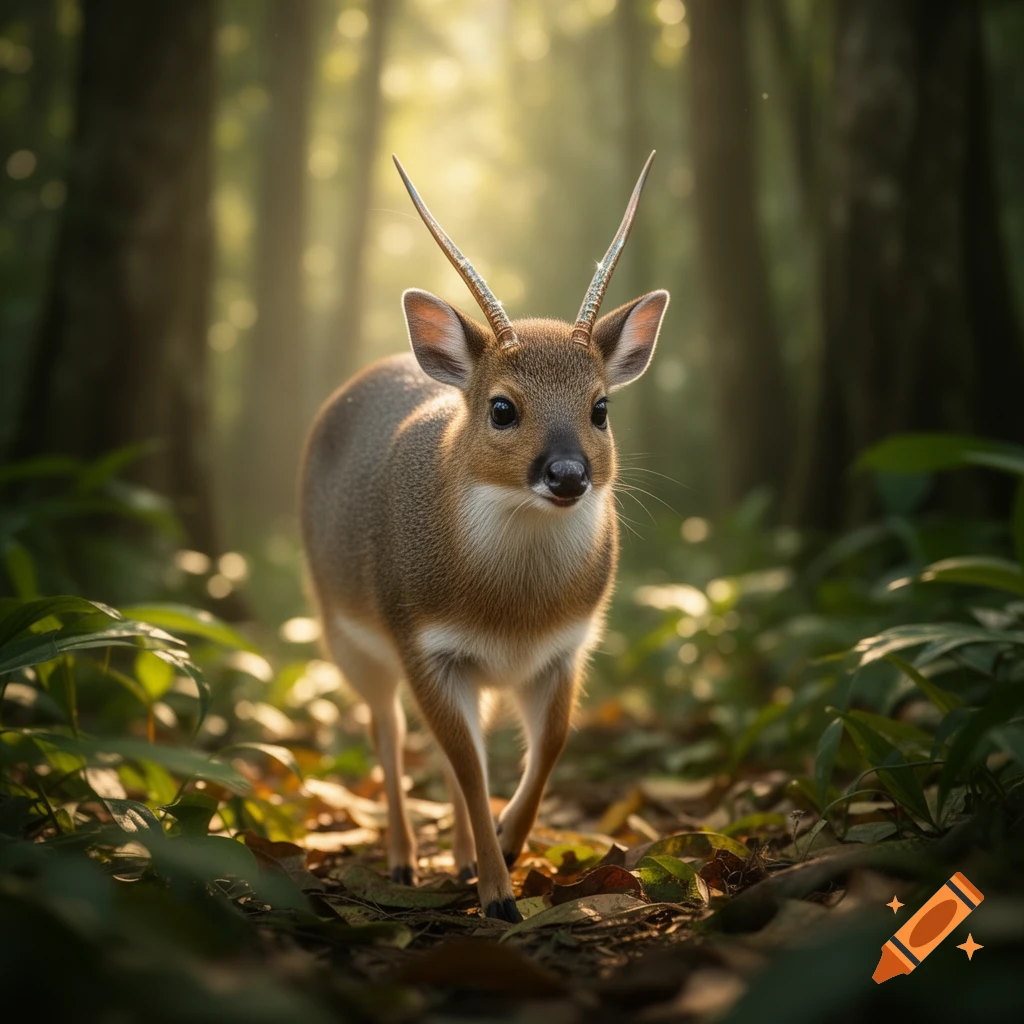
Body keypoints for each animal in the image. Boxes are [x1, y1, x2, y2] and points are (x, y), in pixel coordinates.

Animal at [300, 152, 669, 922]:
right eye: (502, 408)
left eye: (601, 407)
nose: (567, 473)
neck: (512, 611)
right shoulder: (424, 642)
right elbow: (468, 764)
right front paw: (499, 896)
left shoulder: (564, 648)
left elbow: (547, 745)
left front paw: (507, 844)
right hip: (346, 634)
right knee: (388, 732)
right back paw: (406, 860)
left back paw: (465, 855)